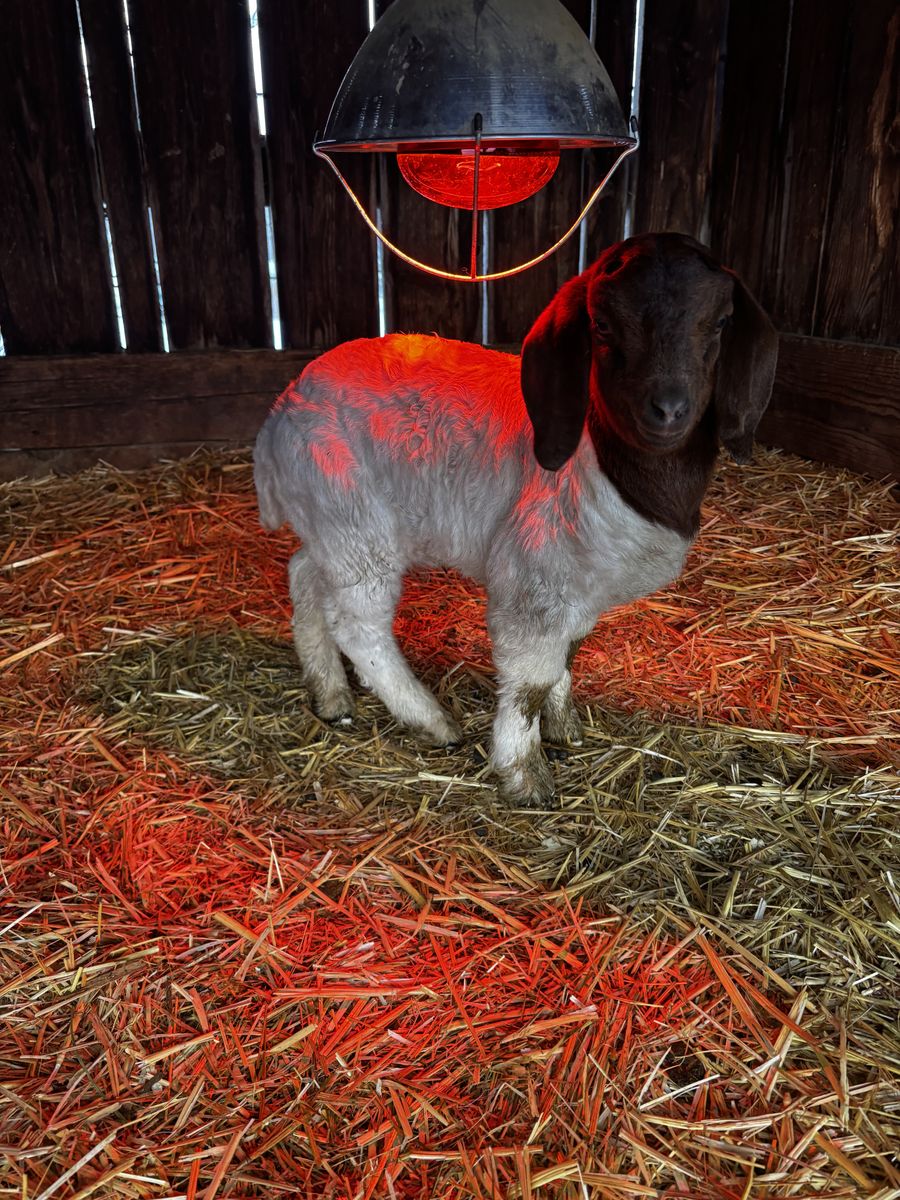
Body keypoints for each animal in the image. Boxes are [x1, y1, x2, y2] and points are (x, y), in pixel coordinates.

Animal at [254, 233, 779, 803]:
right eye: (603, 325)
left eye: (722, 321)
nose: (668, 409)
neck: (602, 461)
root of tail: (279, 412)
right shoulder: (535, 576)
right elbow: (530, 681)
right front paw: (524, 775)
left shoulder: (582, 589)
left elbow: (566, 657)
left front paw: (566, 727)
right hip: (357, 526)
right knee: (358, 625)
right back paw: (431, 721)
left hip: (332, 522)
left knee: (304, 576)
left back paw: (330, 695)